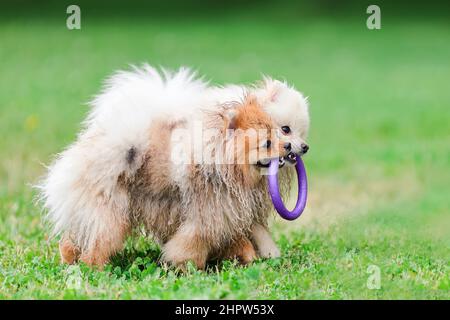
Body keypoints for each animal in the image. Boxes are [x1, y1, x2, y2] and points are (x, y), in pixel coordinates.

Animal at [38, 65, 310, 270]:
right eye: (269, 141)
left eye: (282, 132)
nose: (295, 147)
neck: (222, 163)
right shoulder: (206, 216)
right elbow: (191, 244)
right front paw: (187, 267)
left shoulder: (229, 213)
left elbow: (245, 239)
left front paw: (252, 258)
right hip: (110, 214)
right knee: (97, 242)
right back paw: (94, 268)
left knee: (73, 238)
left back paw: (70, 259)